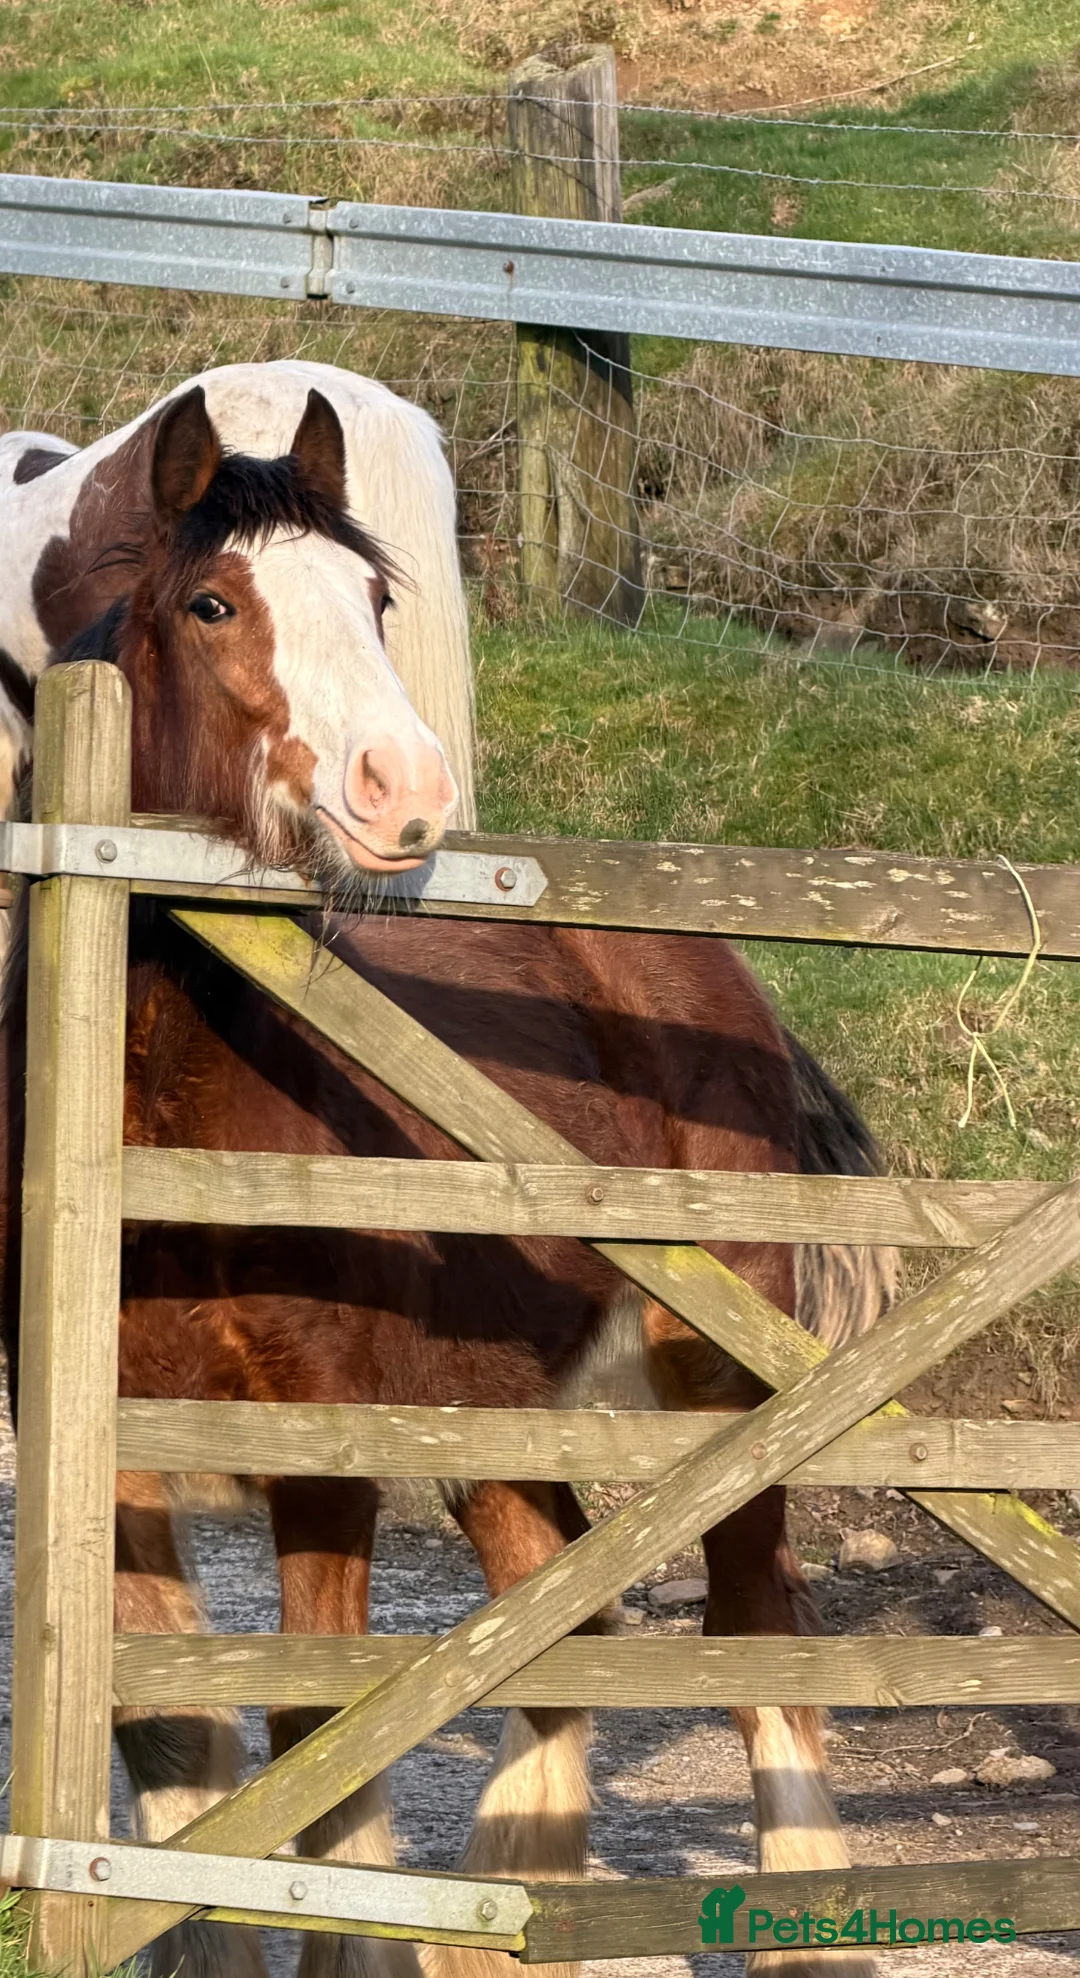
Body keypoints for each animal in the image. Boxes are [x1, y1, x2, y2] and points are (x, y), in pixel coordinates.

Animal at [0, 377, 896, 1978]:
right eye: (215, 602)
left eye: (372, 597)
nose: (405, 789)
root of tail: (713, 969)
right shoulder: (108, 1444)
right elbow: (174, 1733)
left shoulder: (326, 1445)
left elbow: (315, 1723)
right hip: (493, 1410)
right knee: (569, 1627)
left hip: (724, 1386)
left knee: (757, 1636)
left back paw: (805, 1926)